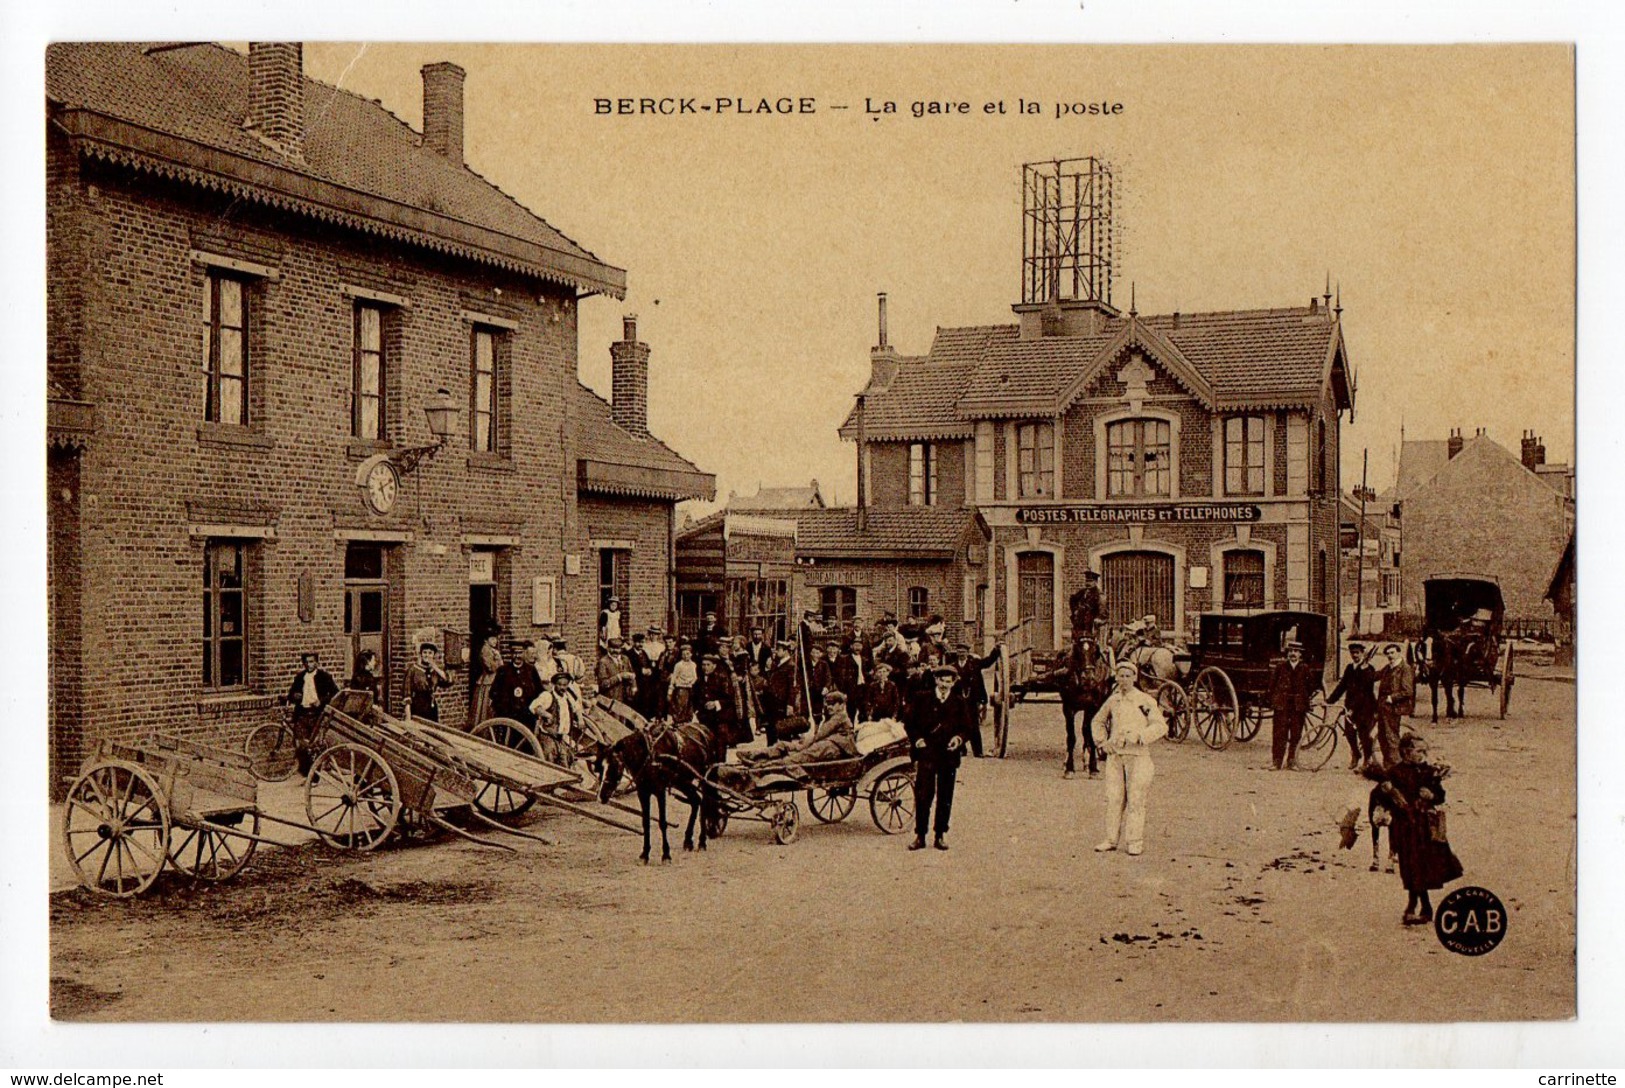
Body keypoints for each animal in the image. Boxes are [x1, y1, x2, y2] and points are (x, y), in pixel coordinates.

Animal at [601, 721, 721, 863]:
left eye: (614, 766)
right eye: (601, 766)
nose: (601, 796)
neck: (649, 756)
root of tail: (705, 729)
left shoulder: (660, 791)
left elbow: (662, 822)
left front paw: (666, 855)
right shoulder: (643, 792)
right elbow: (645, 822)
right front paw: (645, 854)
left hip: (704, 778)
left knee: (705, 804)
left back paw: (702, 841)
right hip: (682, 781)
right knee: (696, 800)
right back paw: (688, 841)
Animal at [1046, 636, 1111, 779]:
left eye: (1095, 652)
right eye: (1078, 653)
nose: (1088, 676)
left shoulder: (1093, 707)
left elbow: (1090, 735)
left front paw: (1093, 768)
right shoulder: (1068, 708)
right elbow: (1071, 737)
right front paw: (1069, 768)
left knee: (1085, 731)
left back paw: (1087, 762)